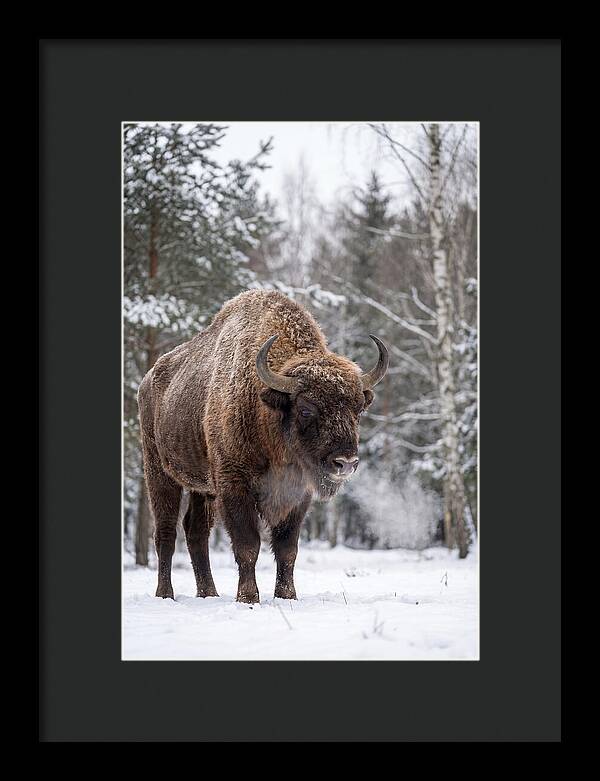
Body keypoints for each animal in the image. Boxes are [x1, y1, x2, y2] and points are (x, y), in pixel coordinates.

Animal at [137, 289, 388, 603]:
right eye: (306, 408)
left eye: (358, 409)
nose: (345, 463)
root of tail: (148, 381)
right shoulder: (234, 486)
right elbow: (248, 545)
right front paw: (248, 598)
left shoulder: (297, 494)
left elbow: (287, 548)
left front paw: (287, 596)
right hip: (159, 472)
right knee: (166, 533)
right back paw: (165, 594)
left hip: (202, 488)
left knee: (195, 532)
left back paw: (209, 594)